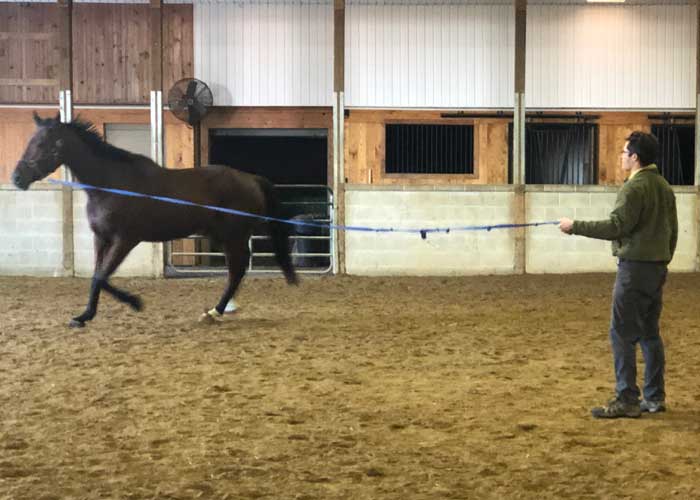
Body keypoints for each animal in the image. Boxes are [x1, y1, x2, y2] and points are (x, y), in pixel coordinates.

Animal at [12, 112, 298, 328]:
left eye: (45, 144)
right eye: (30, 141)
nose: (16, 178)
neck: (111, 185)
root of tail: (251, 178)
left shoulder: (125, 240)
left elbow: (101, 277)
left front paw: (135, 302)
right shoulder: (101, 239)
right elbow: (96, 277)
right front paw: (84, 316)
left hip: (233, 236)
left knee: (236, 271)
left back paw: (215, 312)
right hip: (224, 236)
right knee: (236, 270)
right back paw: (215, 311)